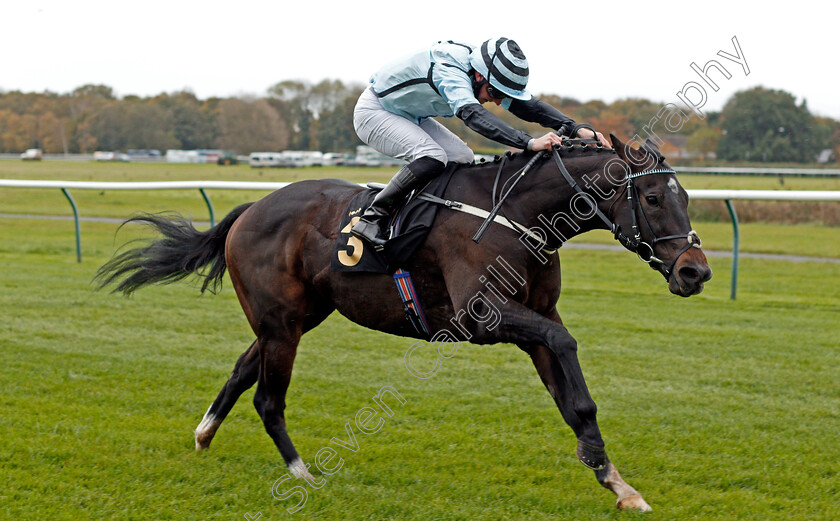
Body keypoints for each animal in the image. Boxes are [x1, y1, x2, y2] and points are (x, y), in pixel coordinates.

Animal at [100, 135, 716, 512]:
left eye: (686, 195)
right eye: (654, 197)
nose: (696, 271)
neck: (519, 213)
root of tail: (249, 209)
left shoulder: (537, 317)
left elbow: (573, 397)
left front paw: (617, 482)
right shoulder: (483, 316)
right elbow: (566, 347)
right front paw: (605, 469)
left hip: (296, 317)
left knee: (241, 367)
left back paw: (204, 434)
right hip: (282, 323)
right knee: (268, 398)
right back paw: (302, 474)